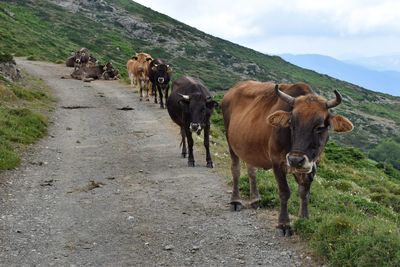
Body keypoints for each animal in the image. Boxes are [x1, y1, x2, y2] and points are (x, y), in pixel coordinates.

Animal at [222, 81, 354, 237]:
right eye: (292, 124)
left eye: (320, 127)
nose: (296, 160)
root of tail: (233, 89)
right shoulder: (277, 162)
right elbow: (284, 192)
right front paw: (284, 224)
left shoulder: (312, 165)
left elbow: (304, 192)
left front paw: (304, 219)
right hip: (230, 141)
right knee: (235, 170)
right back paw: (235, 201)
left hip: (248, 146)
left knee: (251, 170)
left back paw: (255, 199)